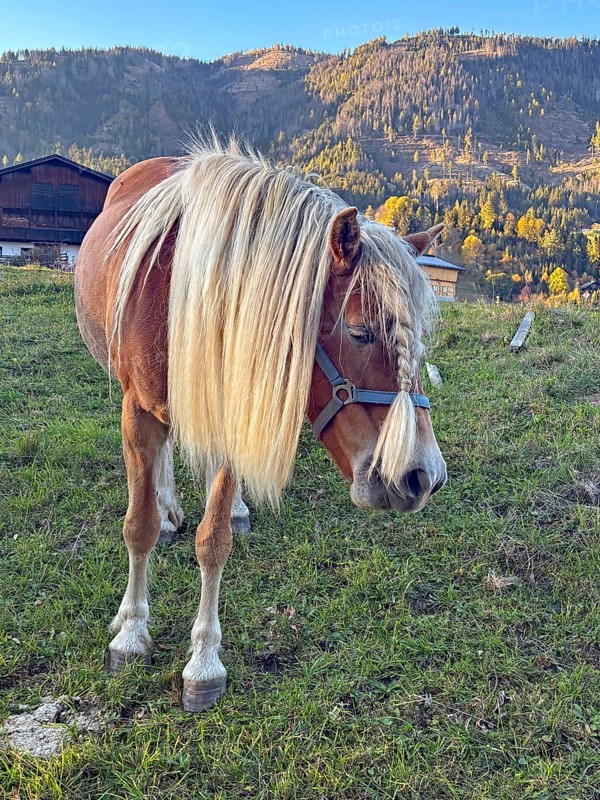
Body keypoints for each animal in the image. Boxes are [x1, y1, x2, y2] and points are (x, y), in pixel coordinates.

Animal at [74, 138, 447, 712]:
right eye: (359, 332)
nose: (422, 475)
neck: (183, 291)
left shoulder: (233, 409)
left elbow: (215, 540)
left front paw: (203, 661)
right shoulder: (136, 413)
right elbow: (138, 527)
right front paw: (131, 633)